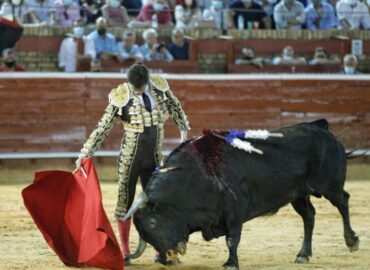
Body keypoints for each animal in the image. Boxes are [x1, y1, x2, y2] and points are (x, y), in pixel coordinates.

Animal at [125, 119, 360, 268]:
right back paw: (303, 255)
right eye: (143, 231)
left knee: (343, 202)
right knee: (309, 216)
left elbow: (232, 239)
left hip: (329, 186)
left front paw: (231, 263)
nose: (167, 258)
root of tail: (323, 130)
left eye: (153, 222)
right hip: (298, 195)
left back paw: (352, 241)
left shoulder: (235, 211)